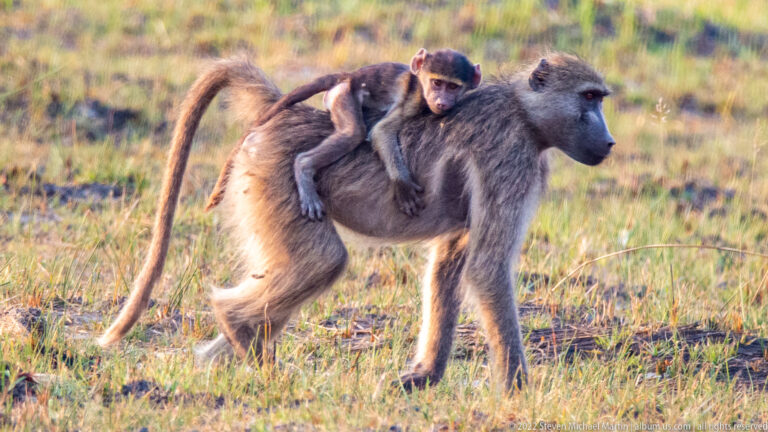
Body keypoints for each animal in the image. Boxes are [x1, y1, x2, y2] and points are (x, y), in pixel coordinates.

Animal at [204, 48, 482, 220]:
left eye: (453, 87)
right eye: (437, 83)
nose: (441, 101)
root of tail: (349, 75)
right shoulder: (413, 98)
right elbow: (380, 132)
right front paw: (402, 184)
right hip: (343, 96)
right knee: (352, 132)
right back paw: (304, 168)